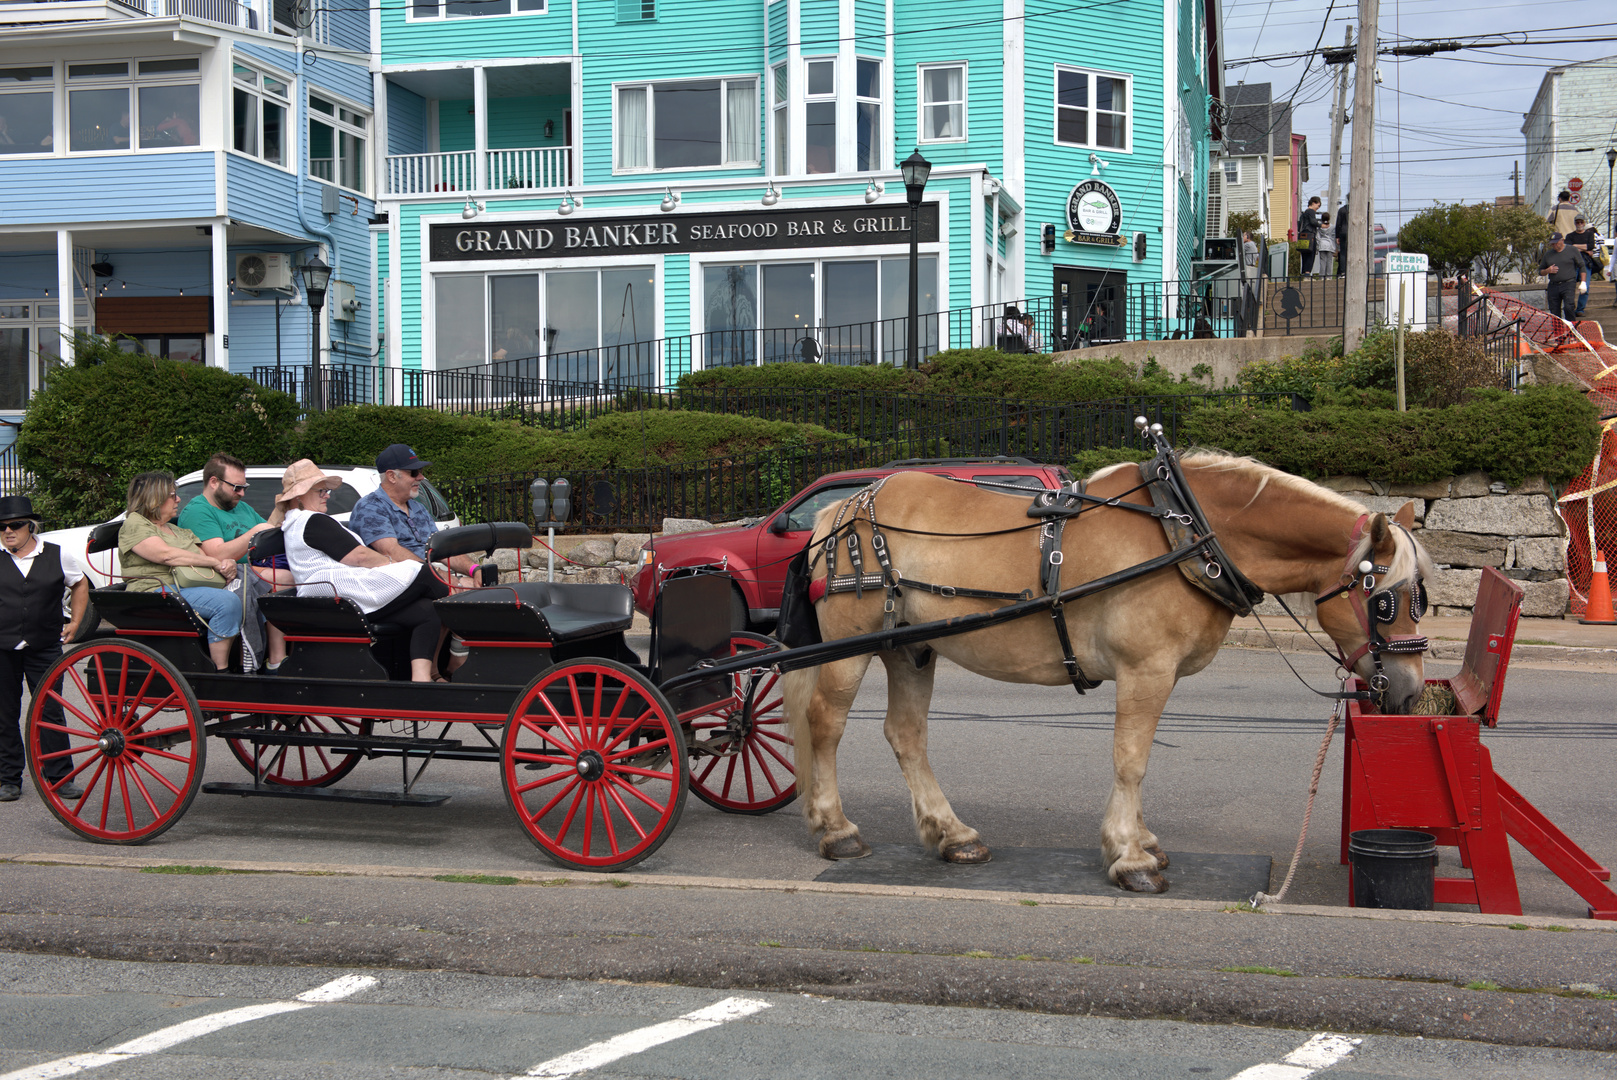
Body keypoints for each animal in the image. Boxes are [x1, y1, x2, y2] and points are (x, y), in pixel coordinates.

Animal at [779, 452, 1429, 892]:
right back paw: (836, 828)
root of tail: (841, 508)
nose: (1410, 691)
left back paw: (953, 834)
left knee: (906, 735)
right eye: (1385, 601)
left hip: (910, 649)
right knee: (825, 724)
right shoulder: (1146, 669)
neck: (1185, 531)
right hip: (851, 647)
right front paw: (1129, 856)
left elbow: (1139, 759)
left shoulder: (1156, 675)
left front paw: (1140, 840)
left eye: (1421, 597)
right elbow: (1131, 759)